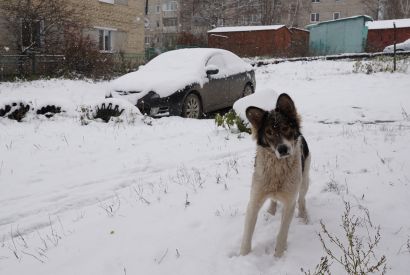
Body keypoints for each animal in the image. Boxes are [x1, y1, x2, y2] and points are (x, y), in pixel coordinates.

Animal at [239, 93, 310, 258]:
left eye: (285, 128)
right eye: (269, 133)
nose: (282, 149)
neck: (278, 168)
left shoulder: (289, 202)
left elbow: (282, 233)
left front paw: (278, 255)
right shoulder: (254, 201)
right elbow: (247, 235)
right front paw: (243, 256)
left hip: (305, 180)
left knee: (302, 199)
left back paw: (303, 215)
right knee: (273, 199)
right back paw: (271, 211)